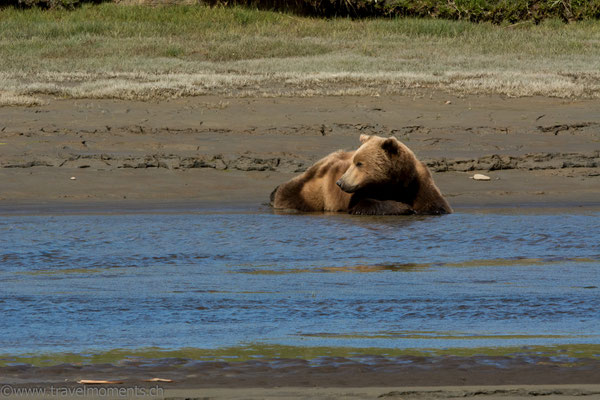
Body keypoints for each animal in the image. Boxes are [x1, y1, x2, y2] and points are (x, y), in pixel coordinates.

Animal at [270, 134, 450, 216]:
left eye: (359, 163)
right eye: (354, 162)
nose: (340, 183)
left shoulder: (419, 184)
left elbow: (437, 206)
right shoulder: (360, 192)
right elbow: (364, 204)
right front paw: (403, 208)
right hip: (313, 188)